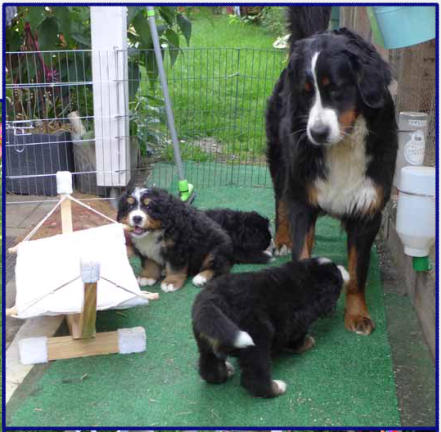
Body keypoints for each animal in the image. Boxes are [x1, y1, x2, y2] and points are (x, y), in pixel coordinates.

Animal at [192, 257, 349, 398]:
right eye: (338, 277)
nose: (343, 269)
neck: (307, 279)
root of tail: (211, 300)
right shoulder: (298, 321)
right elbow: (297, 340)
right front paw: (307, 343)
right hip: (258, 337)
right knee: (254, 378)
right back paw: (275, 388)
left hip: (205, 338)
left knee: (208, 366)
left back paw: (224, 373)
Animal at [266, 7, 398, 335]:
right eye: (305, 92)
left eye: (335, 89)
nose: (317, 132)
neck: (343, 146)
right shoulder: (303, 199)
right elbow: (301, 249)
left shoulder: (367, 211)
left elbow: (357, 272)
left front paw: (357, 314)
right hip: (280, 160)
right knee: (280, 201)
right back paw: (282, 239)